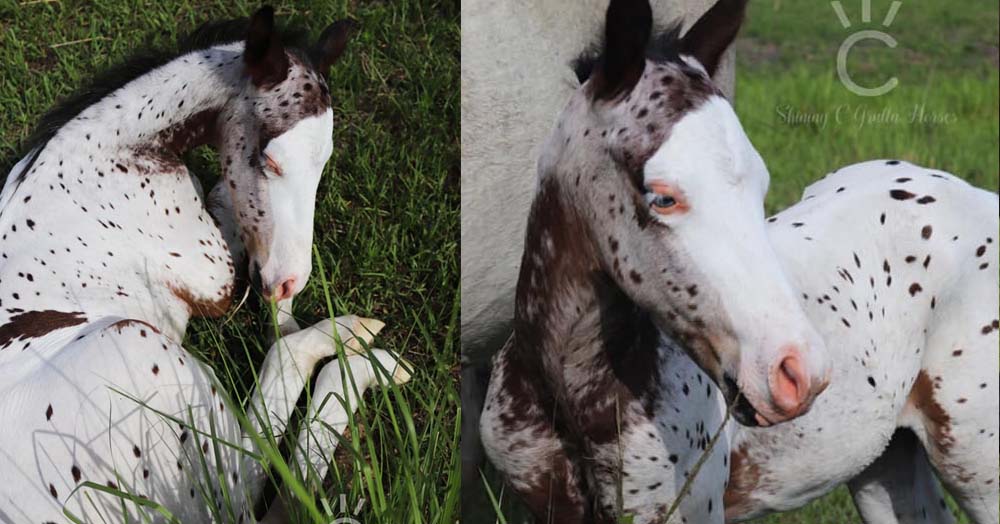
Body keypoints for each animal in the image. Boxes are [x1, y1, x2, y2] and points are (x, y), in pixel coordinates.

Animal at [0, 8, 410, 524]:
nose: (288, 281)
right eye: (271, 160)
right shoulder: (212, 274)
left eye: (325, 161)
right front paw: (287, 315)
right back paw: (362, 352)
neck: (98, 159)